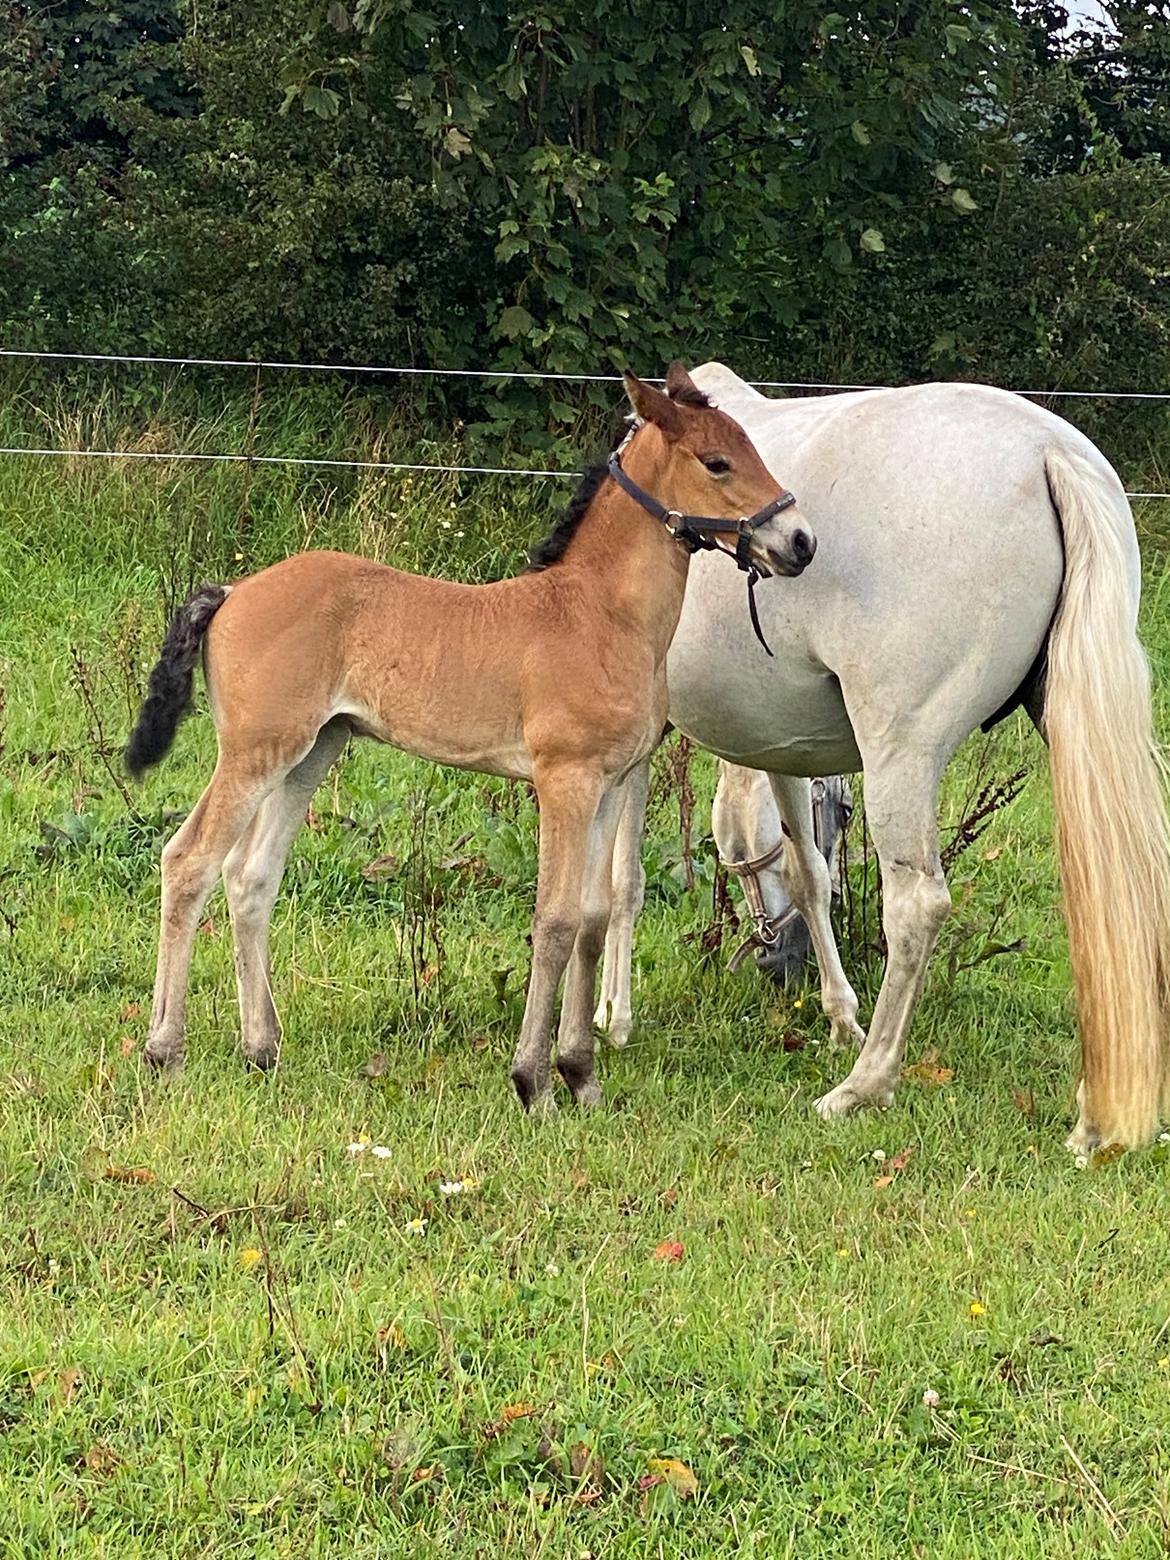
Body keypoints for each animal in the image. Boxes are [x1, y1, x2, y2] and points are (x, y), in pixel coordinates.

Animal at [126, 363, 817, 1110]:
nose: (801, 542)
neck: (600, 613)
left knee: (251, 877)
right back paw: (165, 1051)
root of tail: (231, 590)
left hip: (313, 751)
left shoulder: (610, 784)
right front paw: (533, 1080)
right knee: (188, 861)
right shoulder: (564, 779)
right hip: (256, 751)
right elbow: (556, 920)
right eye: (717, 462)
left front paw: (582, 1075)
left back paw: (262, 1049)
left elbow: (595, 919)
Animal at [595, 358, 1170, 1154]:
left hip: (901, 753)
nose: (776, 964)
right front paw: (840, 1013)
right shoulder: (780, 747)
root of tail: (1048, 451)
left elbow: (622, 880)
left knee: (917, 906)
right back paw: (1094, 1116)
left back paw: (864, 1085)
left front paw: (610, 1019)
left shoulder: (639, 745)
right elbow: (809, 874)